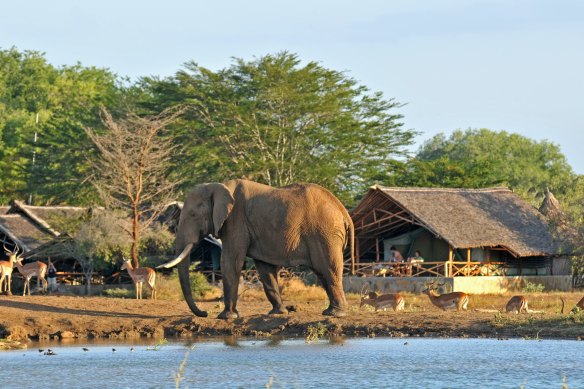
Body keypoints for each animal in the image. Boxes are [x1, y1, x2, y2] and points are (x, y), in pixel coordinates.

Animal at [157, 179, 354, 318]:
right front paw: (277, 313)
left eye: (192, 215)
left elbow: (230, 262)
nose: (204, 313)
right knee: (323, 273)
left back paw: (336, 314)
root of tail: (343, 211)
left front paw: (226, 317)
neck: (218, 186)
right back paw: (330, 311)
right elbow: (264, 268)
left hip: (325, 233)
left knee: (327, 269)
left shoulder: (235, 221)